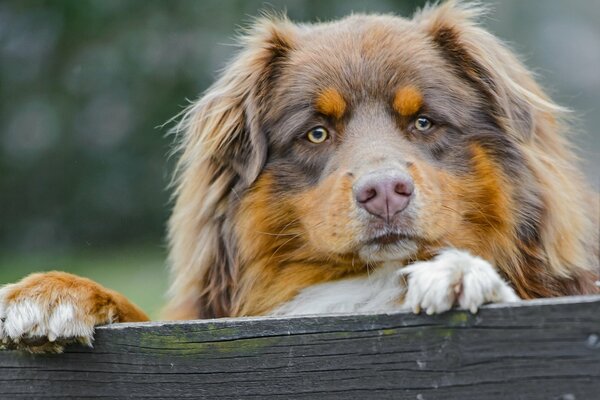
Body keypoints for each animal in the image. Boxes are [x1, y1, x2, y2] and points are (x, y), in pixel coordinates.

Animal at [1, 2, 600, 354]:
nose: (384, 193)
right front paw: (52, 293)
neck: (368, 284)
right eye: (316, 133)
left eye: (424, 122)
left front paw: (458, 274)